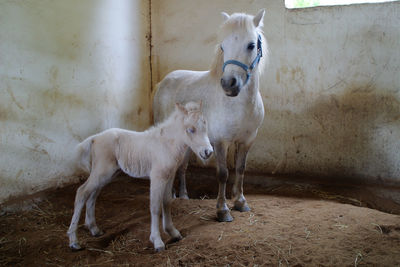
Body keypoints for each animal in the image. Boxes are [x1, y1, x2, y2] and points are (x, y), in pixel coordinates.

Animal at [67, 101, 214, 252]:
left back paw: (94, 229)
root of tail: (95, 138)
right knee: (82, 192)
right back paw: (74, 241)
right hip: (102, 171)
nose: (208, 152)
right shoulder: (157, 177)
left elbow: (167, 202)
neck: (166, 145)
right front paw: (157, 241)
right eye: (190, 129)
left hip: (107, 174)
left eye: (205, 125)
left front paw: (173, 232)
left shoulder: (169, 177)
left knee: (92, 195)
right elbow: (155, 207)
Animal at [154, 8, 268, 222]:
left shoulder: (247, 140)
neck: (238, 105)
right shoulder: (220, 142)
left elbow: (240, 169)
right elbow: (223, 174)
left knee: (182, 166)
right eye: (223, 46)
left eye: (251, 45)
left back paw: (182, 195)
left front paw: (240, 202)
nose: (229, 84)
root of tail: (163, 81)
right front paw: (222, 210)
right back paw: (169, 195)